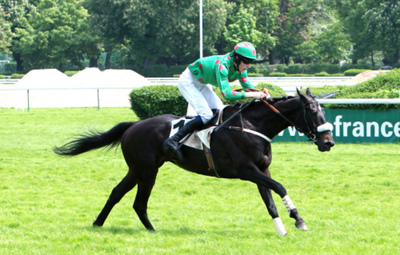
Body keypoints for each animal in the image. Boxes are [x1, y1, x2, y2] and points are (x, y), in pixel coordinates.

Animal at [53, 87, 334, 235]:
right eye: (312, 111)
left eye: (322, 110)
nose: (328, 142)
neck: (252, 125)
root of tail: (133, 125)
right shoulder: (246, 169)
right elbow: (279, 187)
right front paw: (298, 219)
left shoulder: (261, 169)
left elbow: (270, 201)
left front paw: (282, 229)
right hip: (147, 170)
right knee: (138, 202)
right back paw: (150, 230)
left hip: (137, 169)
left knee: (117, 193)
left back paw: (99, 223)